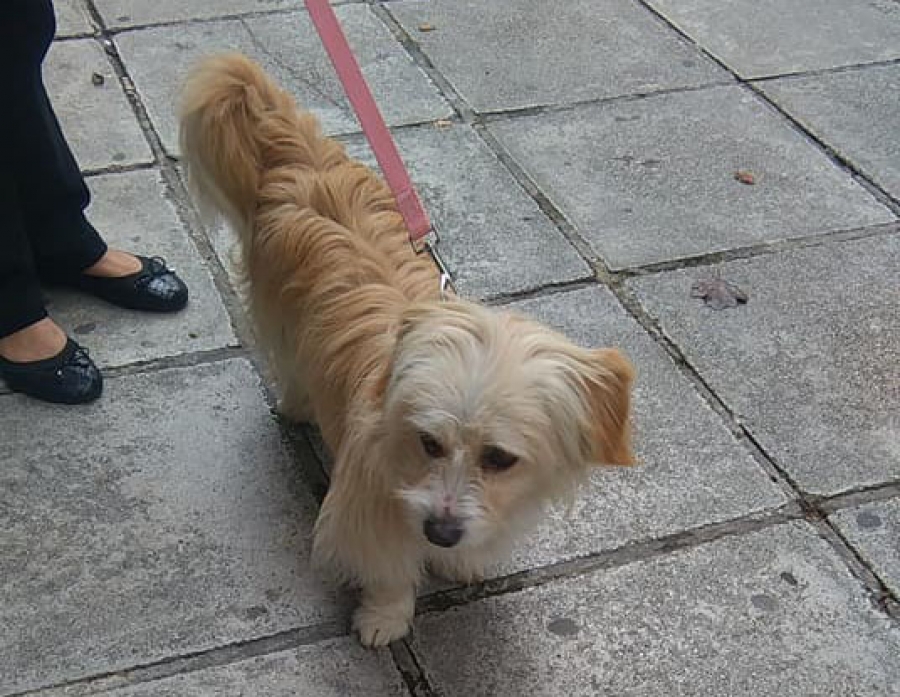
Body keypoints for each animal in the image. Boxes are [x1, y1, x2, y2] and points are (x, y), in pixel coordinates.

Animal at [179, 53, 635, 647]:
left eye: (500, 458)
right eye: (429, 442)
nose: (440, 530)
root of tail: (302, 154)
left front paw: (461, 559)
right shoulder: (364, 510)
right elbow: (389, 568)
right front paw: (386, 617)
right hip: (278, 312)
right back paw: (298, 404)